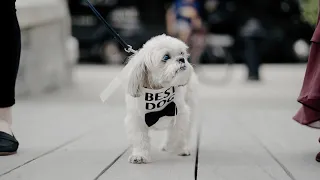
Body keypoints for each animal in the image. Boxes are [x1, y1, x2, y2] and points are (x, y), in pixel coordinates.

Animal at [123, 34, 196, 165]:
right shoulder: (136, 119)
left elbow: (178, 133)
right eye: (166, 57)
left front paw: (177, 147)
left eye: (182, 53)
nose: (182, 59)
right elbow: (140, 139)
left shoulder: (180, 114)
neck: (158, 90)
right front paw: (140, 155)